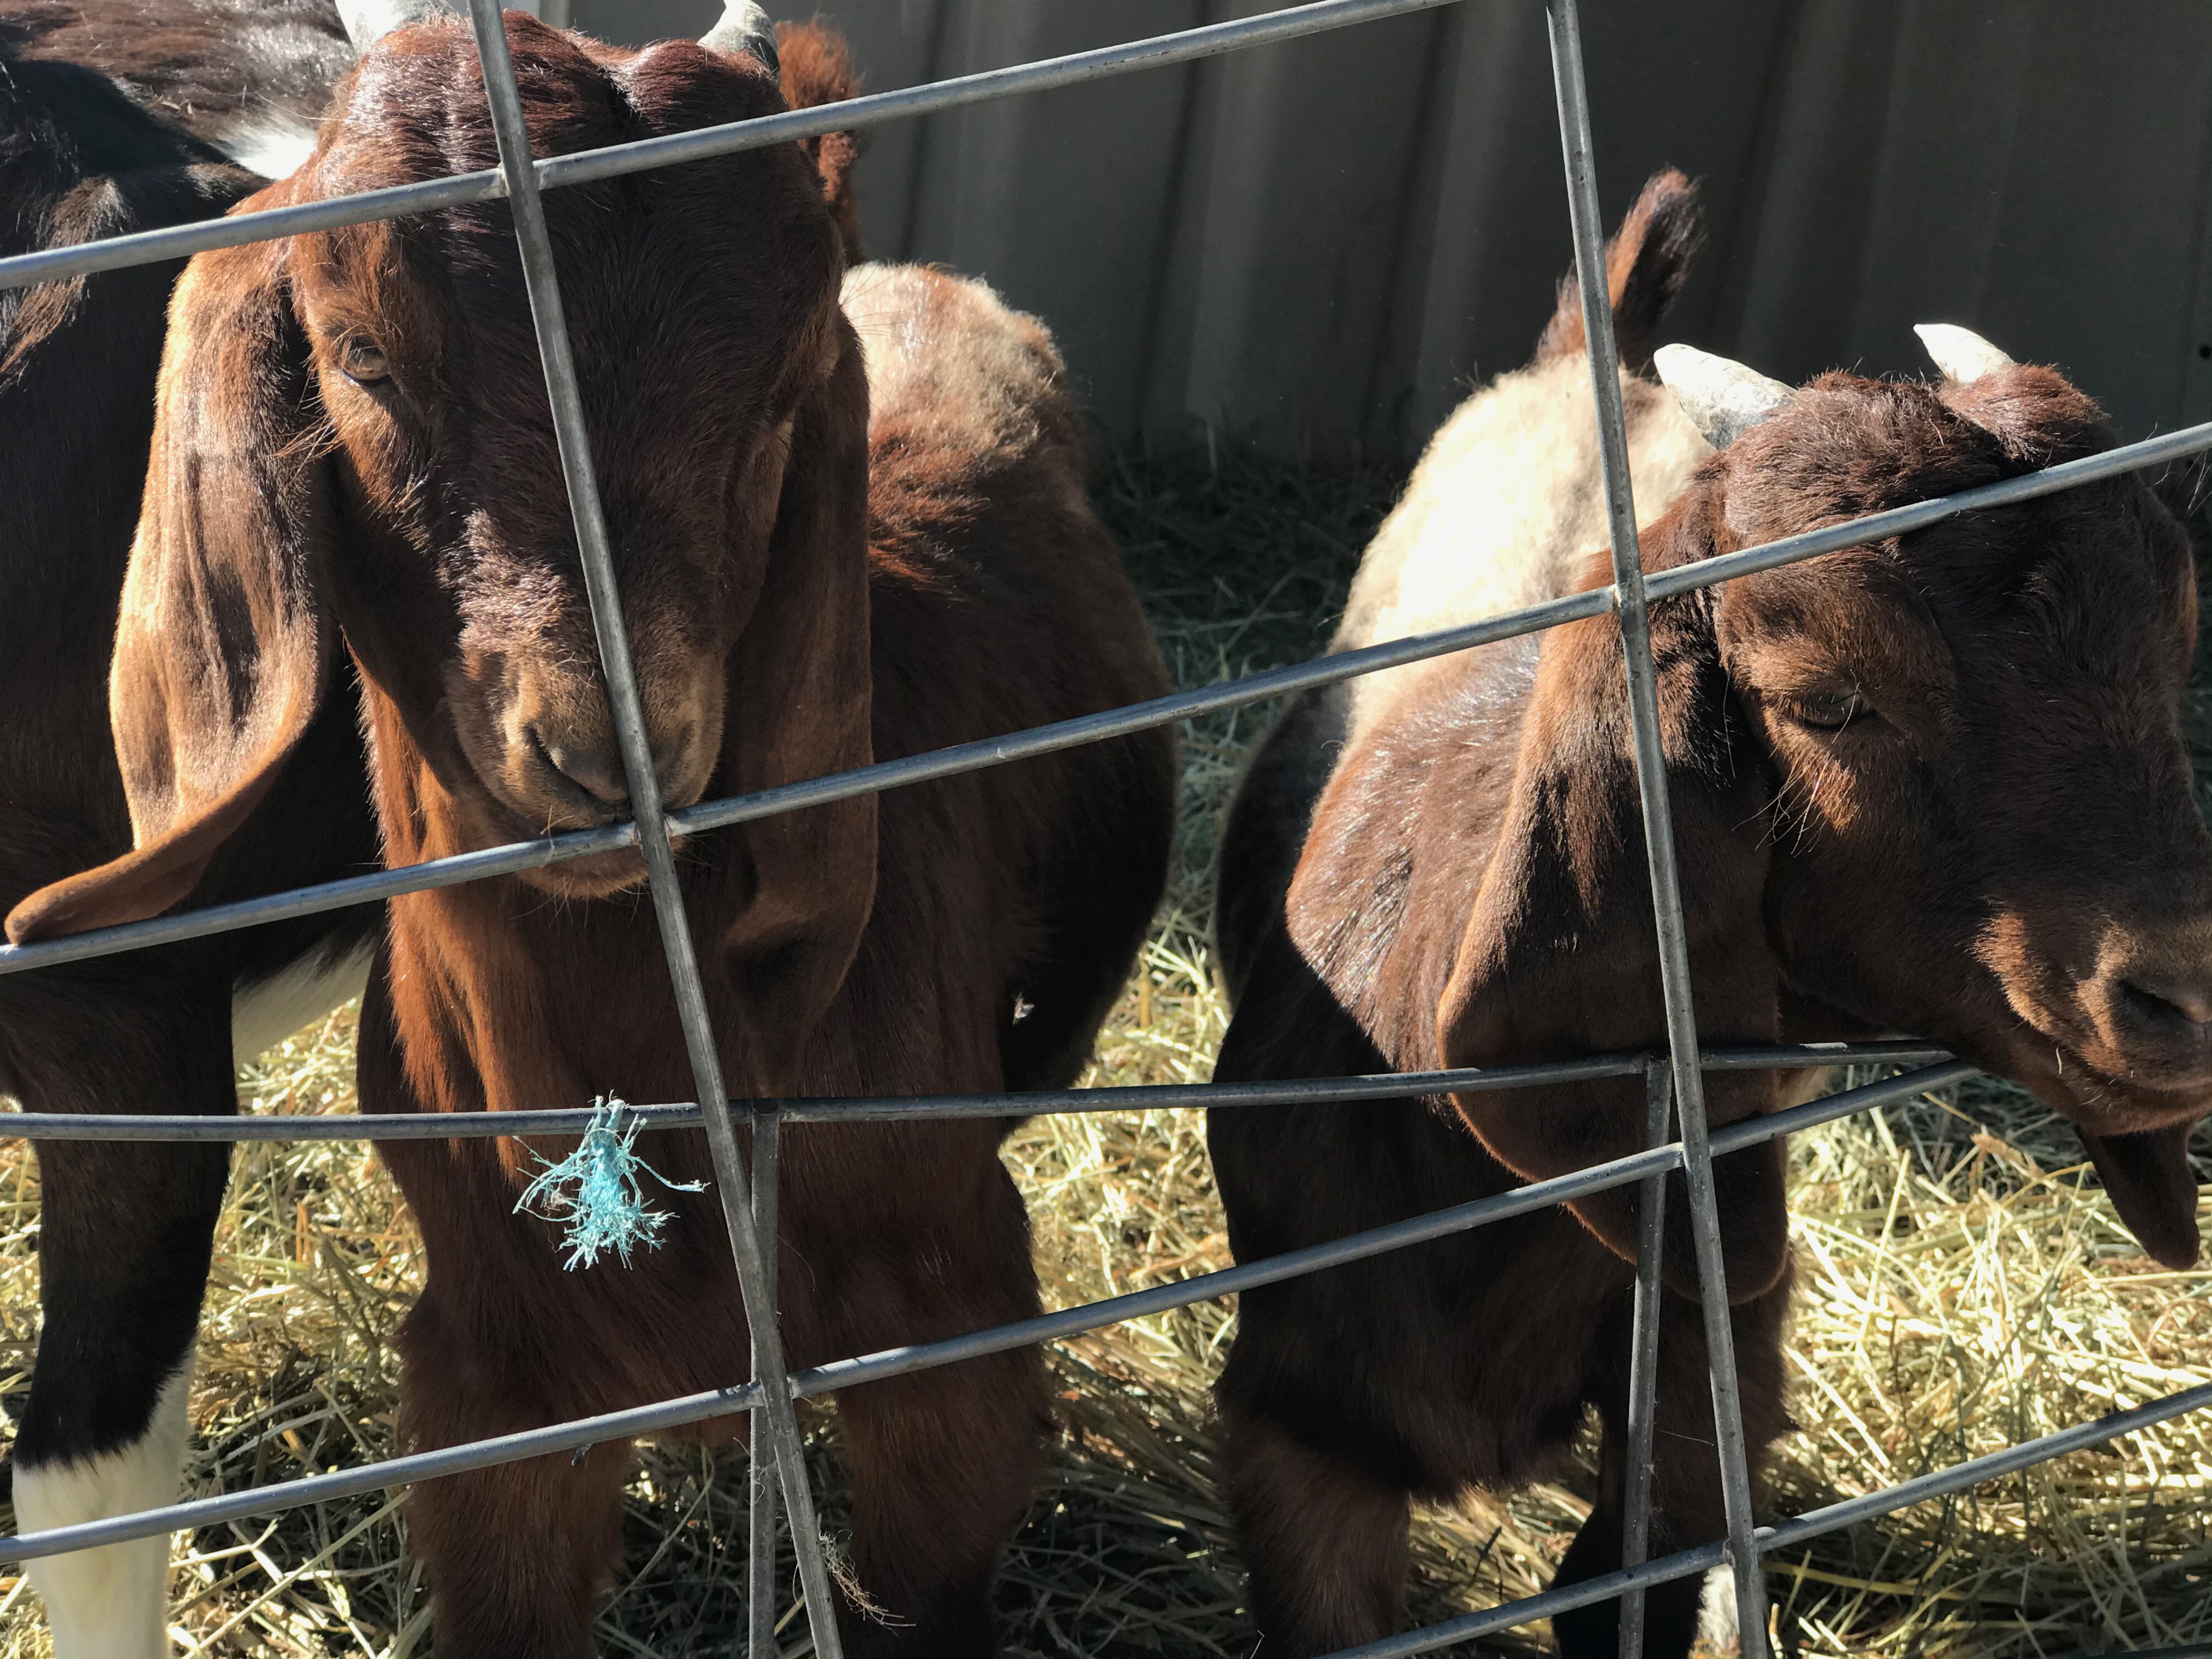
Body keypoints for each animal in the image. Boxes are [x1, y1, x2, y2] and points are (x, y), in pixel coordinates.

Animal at [1212, 172, 2212, 1659]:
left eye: (2170, 652)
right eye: (1829, 699)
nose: (2187, 994)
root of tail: (1600, 353)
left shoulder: (1710, 1352)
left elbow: (1632, 1566)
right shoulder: (1301, 1415)